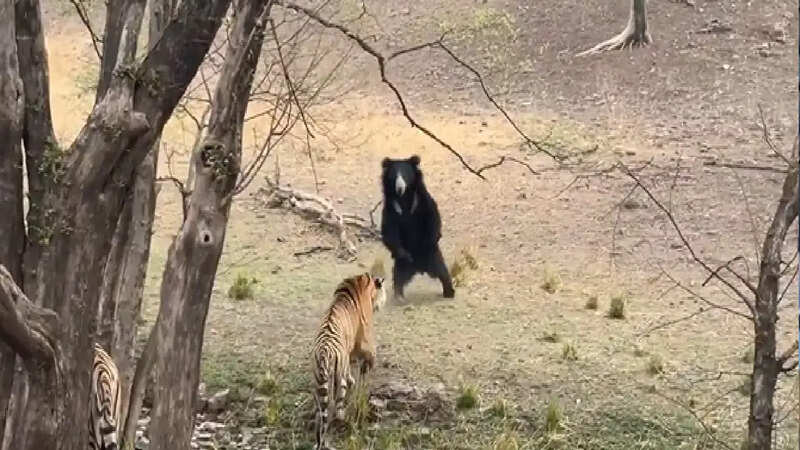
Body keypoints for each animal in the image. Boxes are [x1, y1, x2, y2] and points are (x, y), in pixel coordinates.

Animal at [312, 272, 387, 450]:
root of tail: (324, 353)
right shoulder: (366, 345)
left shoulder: (350, 352)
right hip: (337, 381)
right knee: (336, 408)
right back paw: (342, 420)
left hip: (319, 382)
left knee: (321, 414)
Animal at [380, 155, 455, 303]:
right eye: (394, 176)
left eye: (405, 175)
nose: (400, 188)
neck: (404, 198)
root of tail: (420, 268)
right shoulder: (391, 209)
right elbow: (389, 231)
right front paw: (404, 254)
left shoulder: (421, 201)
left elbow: (432, 216)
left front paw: (430, 241)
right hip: (401, 265)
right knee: (398, 276)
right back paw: (400, 296)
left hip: (434, 257)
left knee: (443, 272)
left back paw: (449, 292)